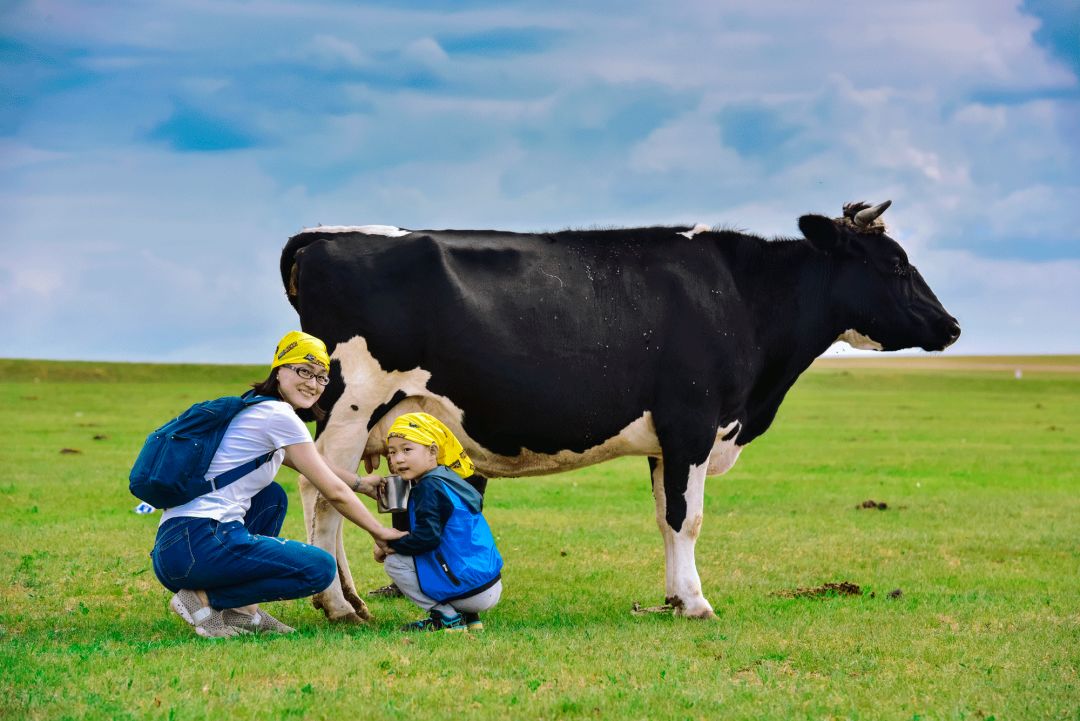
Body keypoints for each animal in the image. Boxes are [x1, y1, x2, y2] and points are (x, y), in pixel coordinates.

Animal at [280, 201, 963, 621]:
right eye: (894, 264)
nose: (952, 326)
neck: (742, 297)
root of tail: (324, 235)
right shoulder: (693, 423)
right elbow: (689, 519)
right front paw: (697, 603)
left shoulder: (668, 441)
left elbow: (665, 518)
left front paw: (673, 598)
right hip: (351, 405)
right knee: (323, 495)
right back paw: (338, 606)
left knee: (331, 494)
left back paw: (349, 599)